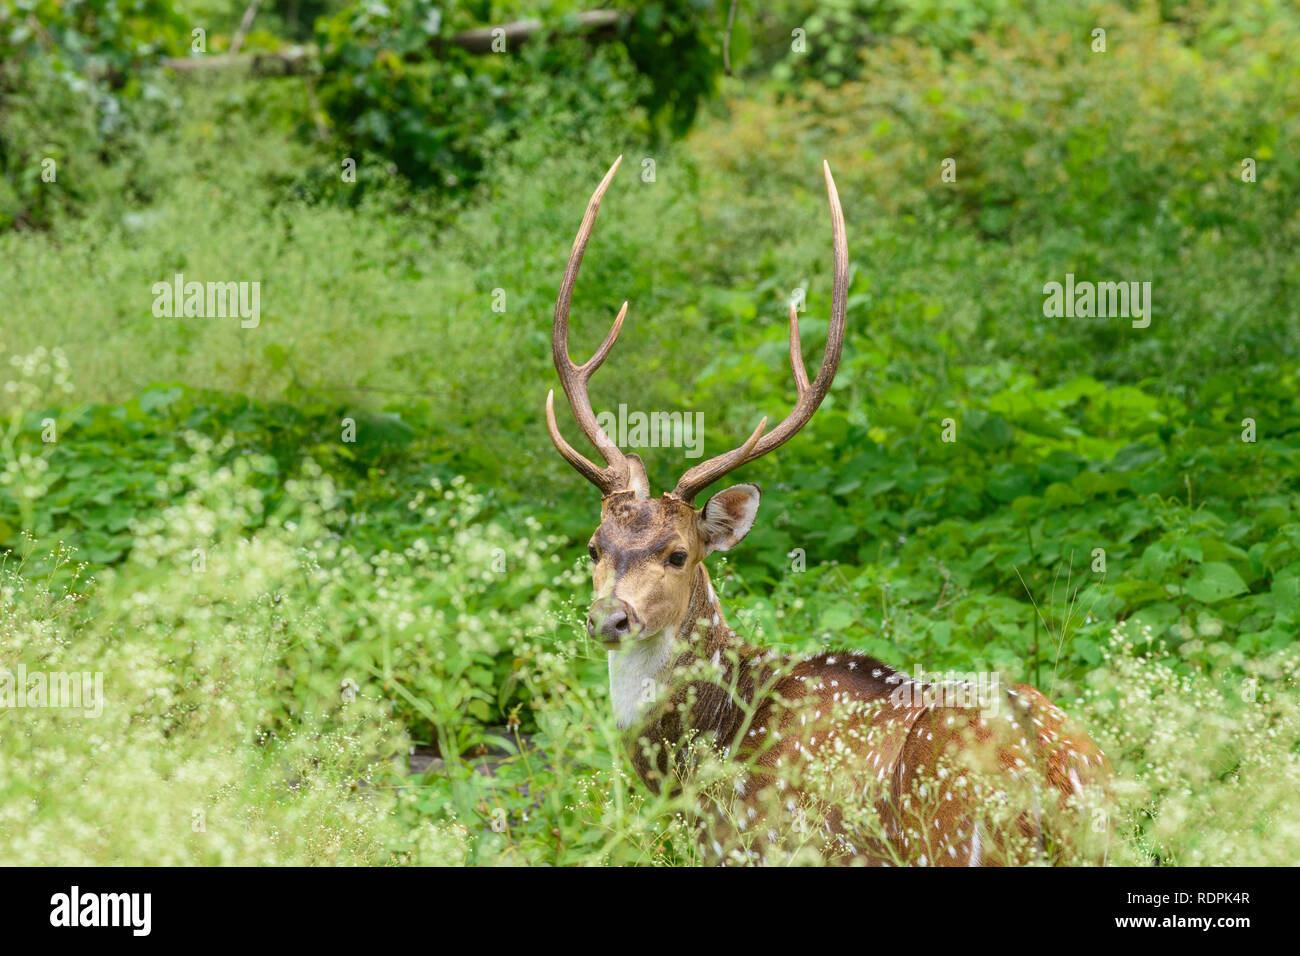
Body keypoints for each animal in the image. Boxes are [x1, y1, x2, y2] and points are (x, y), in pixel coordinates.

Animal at [544, 156, 1113, 866]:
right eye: (594, 546)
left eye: (678, 554)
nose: (609, 618)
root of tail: (1056, 781)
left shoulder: (756, 846)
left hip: (954, 841)